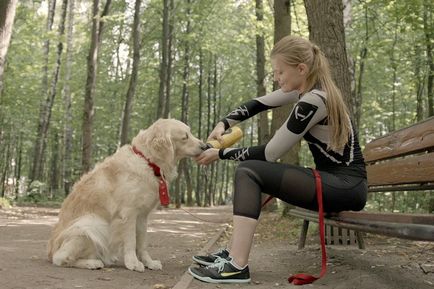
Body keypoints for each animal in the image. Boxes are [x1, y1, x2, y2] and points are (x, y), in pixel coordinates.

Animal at [47, 118, 205, 272]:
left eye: (190, 133)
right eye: (185, 137)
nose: (205, 146)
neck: (147, 161)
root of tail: (50, 251)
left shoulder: (142, 216)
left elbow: (142, 243)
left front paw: (149, 262)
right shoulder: (129, 213)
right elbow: (131, 241)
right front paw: (133, 263)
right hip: (90, 224)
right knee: (60, 258)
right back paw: (92, 263)